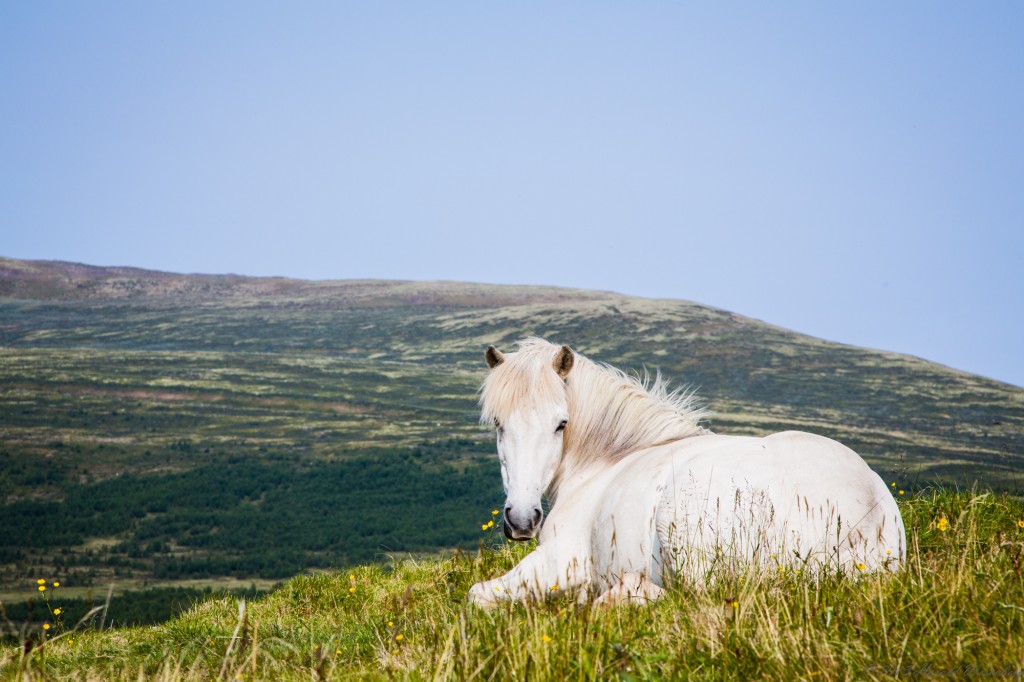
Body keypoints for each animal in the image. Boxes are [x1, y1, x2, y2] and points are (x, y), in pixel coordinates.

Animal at [464, 335, 905, 606]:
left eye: (561, 424)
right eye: (498, 424)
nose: (522, 520)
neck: (607, 461)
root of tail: (869, 513)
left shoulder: (557, 560)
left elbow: (477, 594)